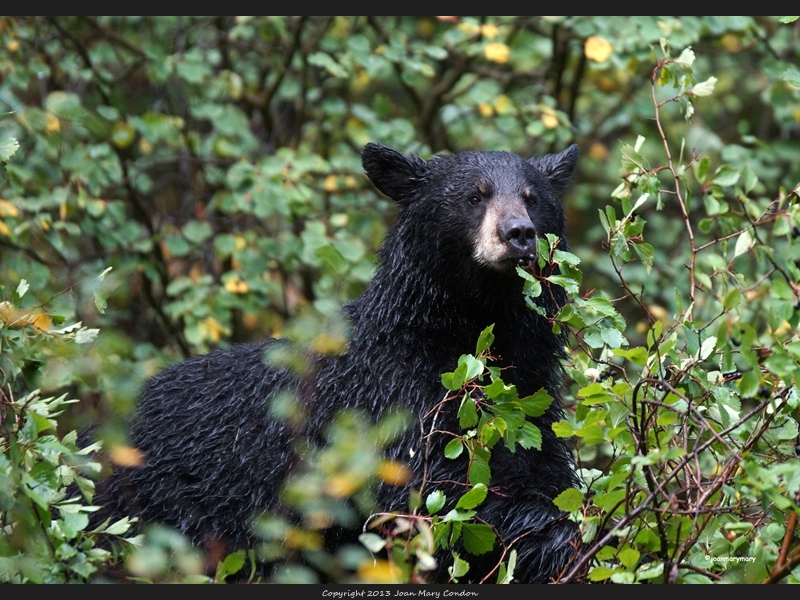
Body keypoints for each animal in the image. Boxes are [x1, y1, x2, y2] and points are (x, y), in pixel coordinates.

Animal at [95, 143, 580, 584]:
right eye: (474, 196)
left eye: (532, 197)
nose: (518, 233)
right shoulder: (392, 397)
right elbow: (442, 490)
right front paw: (556, 542)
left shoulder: (528, 390)